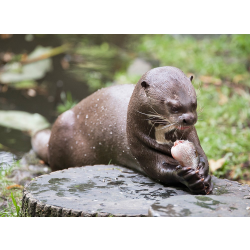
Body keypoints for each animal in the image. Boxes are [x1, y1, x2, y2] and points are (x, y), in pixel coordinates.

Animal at [32, 66, 213, 193]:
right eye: (173, 106)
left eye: (194, 102)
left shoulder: (193, 137)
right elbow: (158, 169)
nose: (189, 118)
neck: (166, 140)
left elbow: (202, 154)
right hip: (61, 130)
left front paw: (204, 173)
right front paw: (186, 176)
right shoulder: (139, 147)